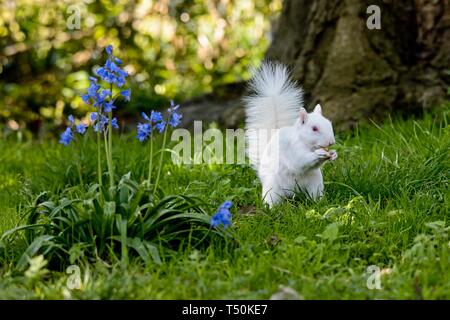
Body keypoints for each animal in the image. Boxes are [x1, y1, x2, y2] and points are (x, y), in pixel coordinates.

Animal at [244, 62, 336, 208]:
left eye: (329, 123)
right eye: (314, 128)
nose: (331, 142)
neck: (305, 143)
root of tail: (293, 193)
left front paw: (333, 154)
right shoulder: (291, 149)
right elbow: (299, 161)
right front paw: (320, 153)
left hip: (315, 184)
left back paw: (319, 203)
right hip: (273, 188)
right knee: (272, 199)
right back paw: (271, 208)